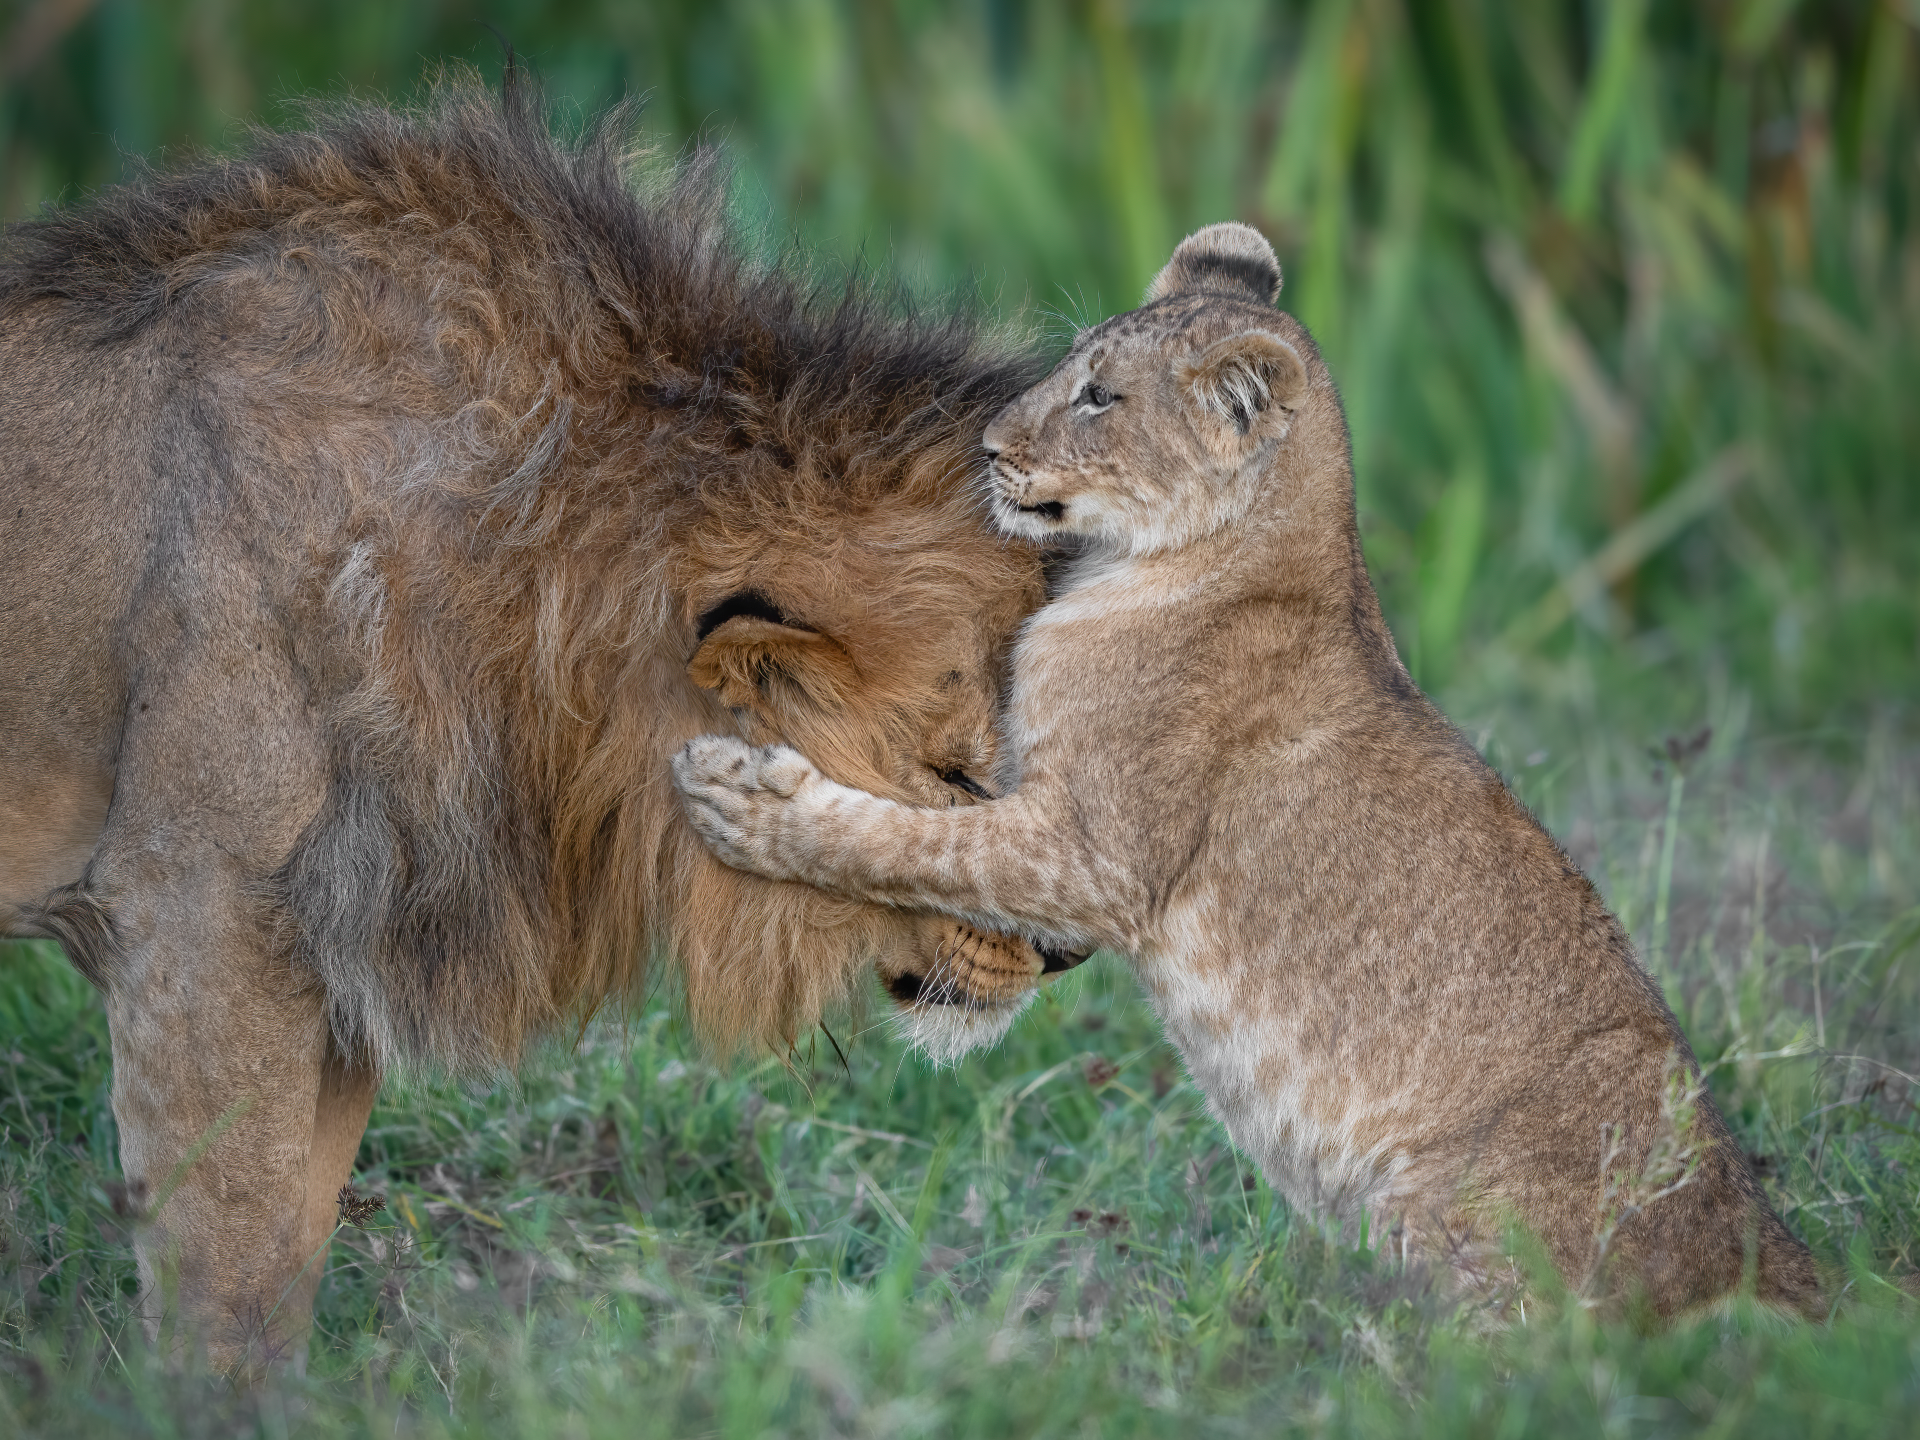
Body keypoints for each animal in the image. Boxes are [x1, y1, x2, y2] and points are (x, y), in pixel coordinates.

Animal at [0, 74, 1082, 1370]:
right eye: (956, 775)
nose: (1073, 955)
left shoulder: (347, 933)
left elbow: (289, 1253)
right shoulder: (193, 915)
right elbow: (227, 1279)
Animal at [674, 223, 1826, 1322]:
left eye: (1099, 397)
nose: (989, 446)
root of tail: (1777, 1256)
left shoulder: (1095, 856)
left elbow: (911, 841)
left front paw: (745, 799)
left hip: (1453, 1220)